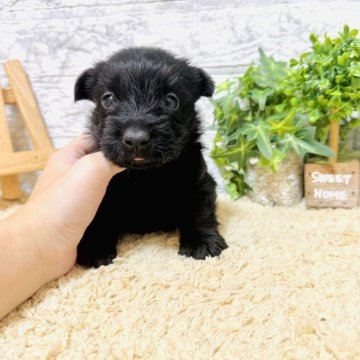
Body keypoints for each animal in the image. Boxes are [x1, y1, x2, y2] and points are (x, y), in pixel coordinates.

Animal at [74, 47, 228, 268]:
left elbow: (200, 211)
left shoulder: (199, 181)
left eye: (171, 100)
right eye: (108, 99)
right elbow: (97, 216)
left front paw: (202, 242)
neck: (145, 175)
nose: (136, 139)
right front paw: (96, 248)